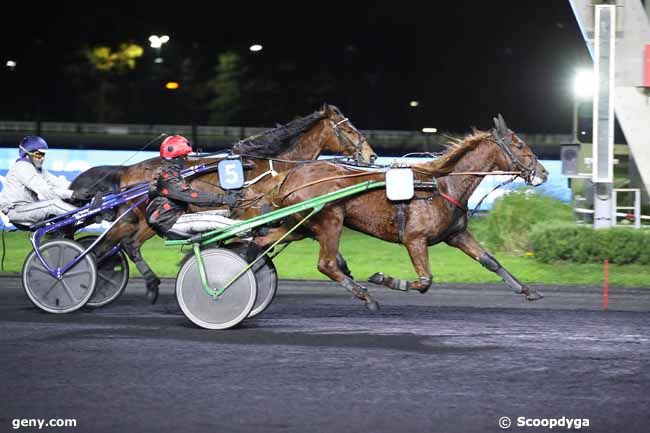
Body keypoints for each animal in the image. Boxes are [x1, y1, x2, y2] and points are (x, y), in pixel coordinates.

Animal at [67, 103, 374, 302]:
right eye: (349, 129)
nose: (370, 156)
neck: (274, 167)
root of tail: (127, 170)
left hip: (145, 221)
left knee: (123, 244)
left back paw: (138, 283)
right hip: (139, 216)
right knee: (110, 245)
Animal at [248, 114, 548, 310]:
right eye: (519, 145)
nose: (543, 172)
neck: (440, 184)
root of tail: (290, 176)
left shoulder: (456, 235)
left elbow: (490, 261)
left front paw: (527, 290)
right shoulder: (415, 239)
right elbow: (425, 281)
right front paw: (385, 279)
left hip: (299, 227)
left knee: (260, 242)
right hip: (329, 220)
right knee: (327, 263)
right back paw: (366, 296)